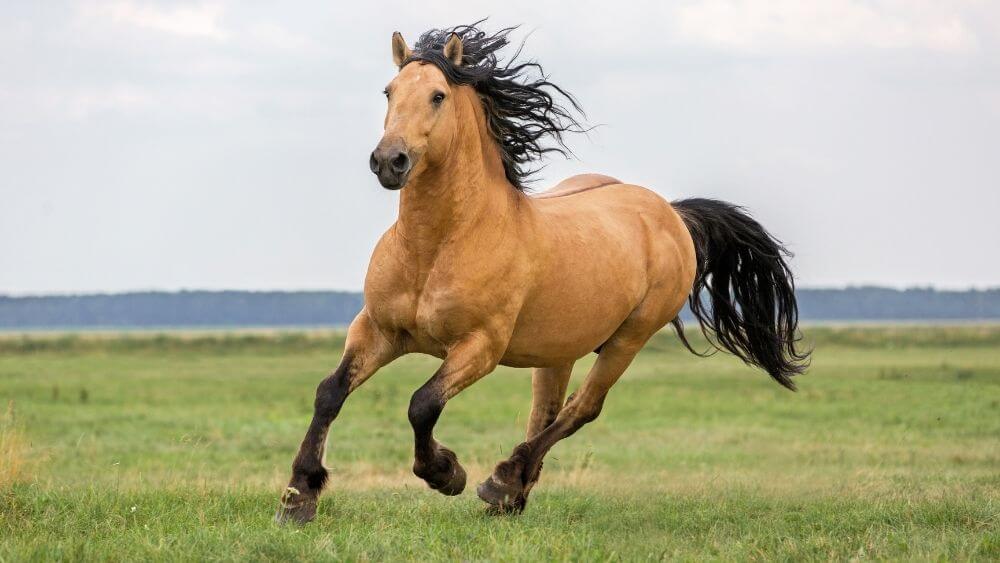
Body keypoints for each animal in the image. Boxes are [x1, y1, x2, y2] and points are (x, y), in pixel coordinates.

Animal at [276, 23, 809, 524]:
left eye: (438, 95)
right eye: (388, 92)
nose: (390, 161)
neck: (437, 246)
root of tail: (670, 213)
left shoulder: (480, 347)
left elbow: (421, 404)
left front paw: (447, 473)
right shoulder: (378, 330)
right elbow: (329, 393)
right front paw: (299, 497)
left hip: (628, 339)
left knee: (580, 410)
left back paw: (500, 482)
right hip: (559, 350)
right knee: (546, 412)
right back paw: (512, 495)